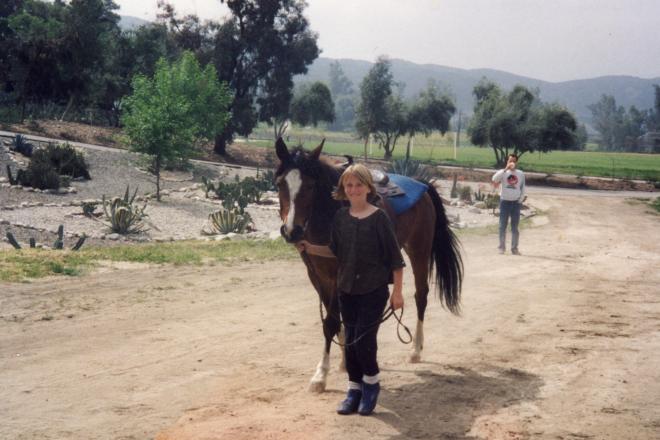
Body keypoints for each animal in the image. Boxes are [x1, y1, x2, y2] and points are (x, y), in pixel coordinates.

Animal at [274, 138, 464, 392]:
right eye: (280, 184)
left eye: (311, 186)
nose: (291, 231)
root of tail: (421, 184)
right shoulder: (318, 276)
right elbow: (339, 319)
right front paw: (344, 362)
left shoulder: (338, 274)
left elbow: (331, 322)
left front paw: (320, 375)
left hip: (419, 251)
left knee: (421, 295)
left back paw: (416, 349)